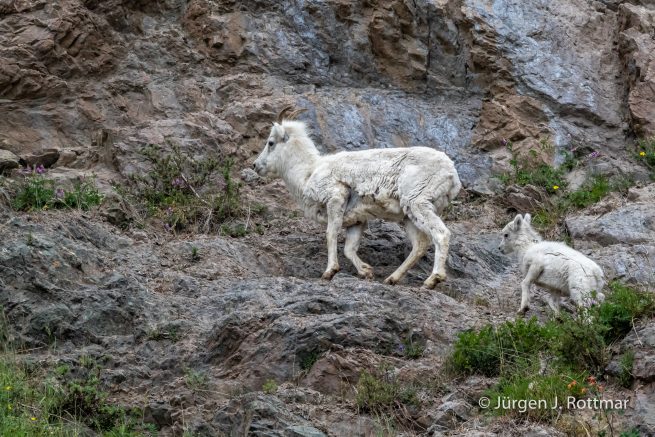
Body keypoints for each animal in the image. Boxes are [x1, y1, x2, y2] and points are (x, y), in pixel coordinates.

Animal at [253, 106, 462, 288]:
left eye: (270, 143)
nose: (255, 165)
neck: (308, 173)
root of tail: (452, 173)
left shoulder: (335, 198)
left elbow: (331, 234)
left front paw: (329, 272)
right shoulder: (356, 221)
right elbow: (349, 249)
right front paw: (366, 272)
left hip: (418, 204)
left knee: (441, 234)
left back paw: (432, 280)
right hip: (409, 216)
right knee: (419, 245)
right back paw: (391, 279)